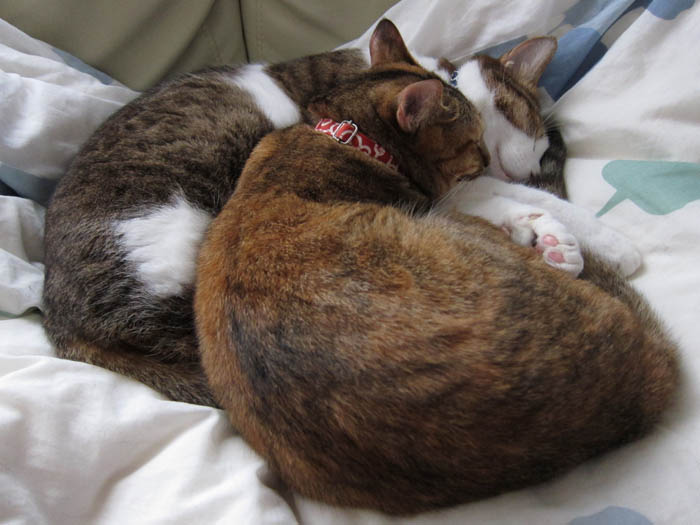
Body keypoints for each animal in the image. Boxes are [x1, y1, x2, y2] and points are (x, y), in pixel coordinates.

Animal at [43, 18, 636, 407]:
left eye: (542, 148)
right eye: (532, 129)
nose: (530, 165)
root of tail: (61, 326)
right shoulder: (447, 187)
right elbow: (537, 200)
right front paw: (611, 242)